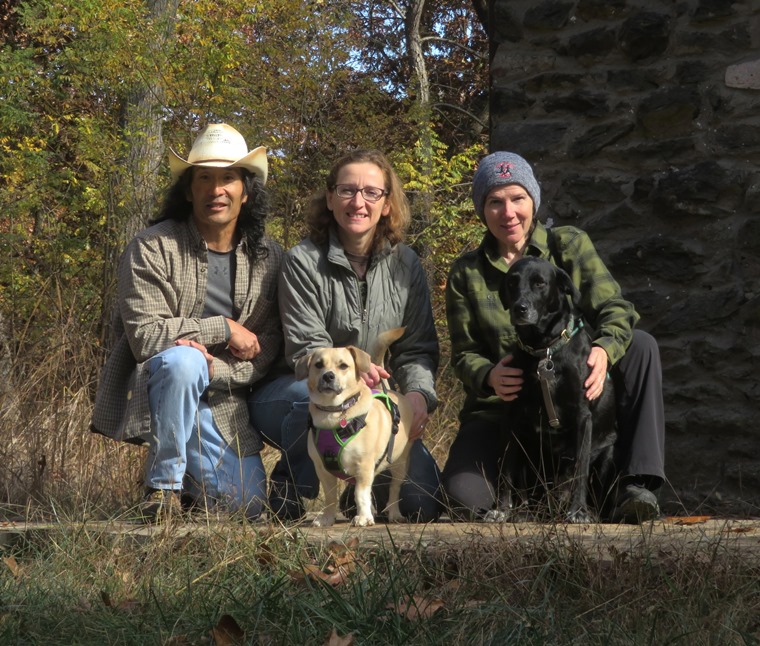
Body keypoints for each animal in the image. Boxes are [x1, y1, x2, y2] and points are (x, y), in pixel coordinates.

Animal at [294, 330, 412, 528]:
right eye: (318, 365)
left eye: (343, 366)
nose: (328, 376)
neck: (334, 412)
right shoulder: (323, 470)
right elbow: (330, 497)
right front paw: (327, 518)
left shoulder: (364, 466)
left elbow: (360, 494)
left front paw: (363, 517)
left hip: (400, 464)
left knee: (394, 489)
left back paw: (394, 513)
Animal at [490, 256, 620, 524]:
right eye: (512, 282)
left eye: (540, 283)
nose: (519, 308)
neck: (544, 350)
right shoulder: (513, 417)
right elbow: (506, 468)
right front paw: (501, 509)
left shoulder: (583, 416)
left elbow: (580, 468)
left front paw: (578, 512)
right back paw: (524, 513)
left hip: (607, 457)